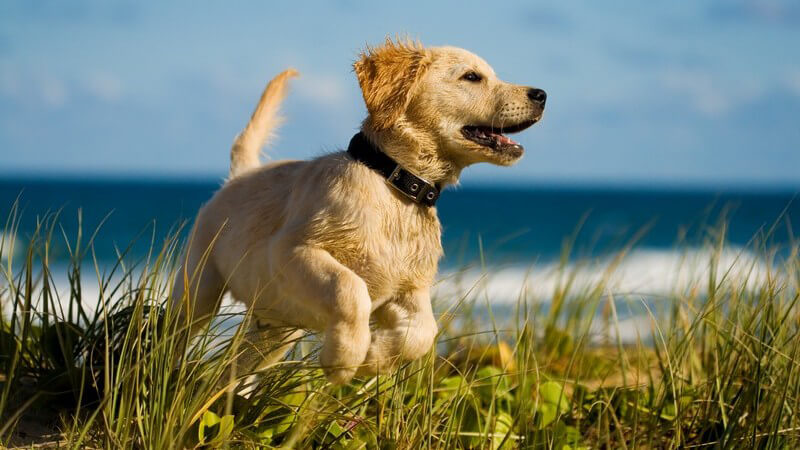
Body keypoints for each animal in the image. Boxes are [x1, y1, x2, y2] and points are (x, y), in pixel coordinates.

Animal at [172, 38, 548, 384]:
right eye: (472, 77)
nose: (542, 94)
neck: (396, 185)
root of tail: (240, 175)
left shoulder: (410, 288)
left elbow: (424, 332)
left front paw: (375, 358)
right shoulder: (292, 250)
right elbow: (349, 288)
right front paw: (344, 358)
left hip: (275, 331)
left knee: (230, 373)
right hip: (199, 288)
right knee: (174, 333)